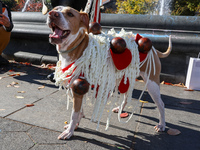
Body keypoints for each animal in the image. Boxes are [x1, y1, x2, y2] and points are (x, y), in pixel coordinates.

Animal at [47, 5, 172, 139]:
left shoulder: (78, 87)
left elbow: (74, 113)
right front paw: (76, 124)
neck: (78, 46)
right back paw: (120, 109)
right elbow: (79, 110)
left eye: (70, 14)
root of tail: (153, 49)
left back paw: (162, 125)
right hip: (122, 78)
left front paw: (70, 131)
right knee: (126, 97)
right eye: (55, 9)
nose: (52, 13)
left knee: (161, 104)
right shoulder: (74, 87)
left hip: (152, 83)